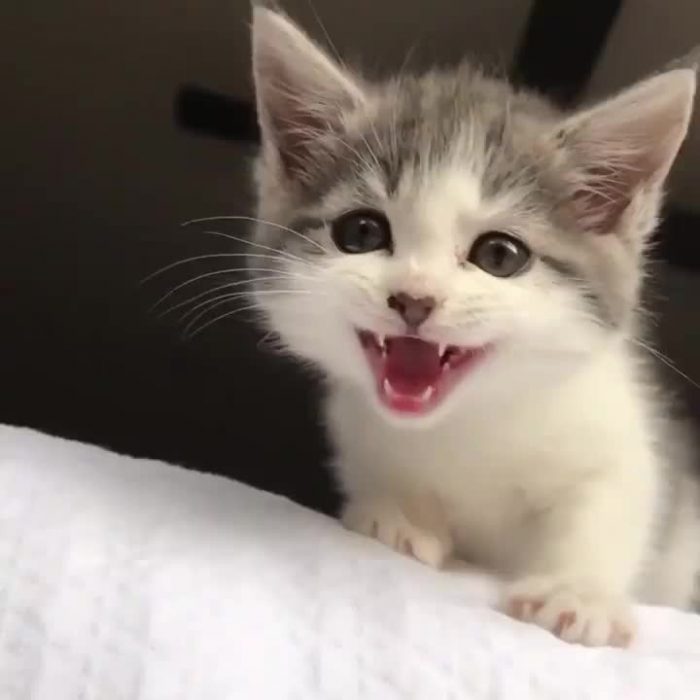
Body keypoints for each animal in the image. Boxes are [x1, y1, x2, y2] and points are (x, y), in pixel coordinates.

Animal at [248, 7, 699, 647]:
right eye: (360, 232)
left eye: (500, 256)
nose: (414, 299)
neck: (469, 422)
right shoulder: (359, 431)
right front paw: (397, 517)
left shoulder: (622, 437)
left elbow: (609, 502)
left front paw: (577, 591)